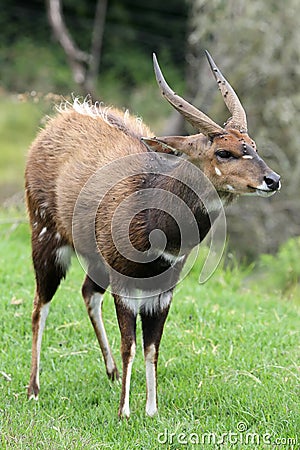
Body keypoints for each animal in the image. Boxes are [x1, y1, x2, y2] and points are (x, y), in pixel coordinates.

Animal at [26, 51, 282, 418]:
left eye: (253, 146)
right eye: (224, 152)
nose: (273, 180)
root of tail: (58, 118)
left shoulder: (162, 291)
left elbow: (152, 347)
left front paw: (151, 410)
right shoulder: (125, 287)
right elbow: (130, 345)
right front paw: (124, 412)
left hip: (93, 259)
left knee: (87, 292)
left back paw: (111, 374)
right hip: (45, 236)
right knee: (40, 304)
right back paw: (33, 389)